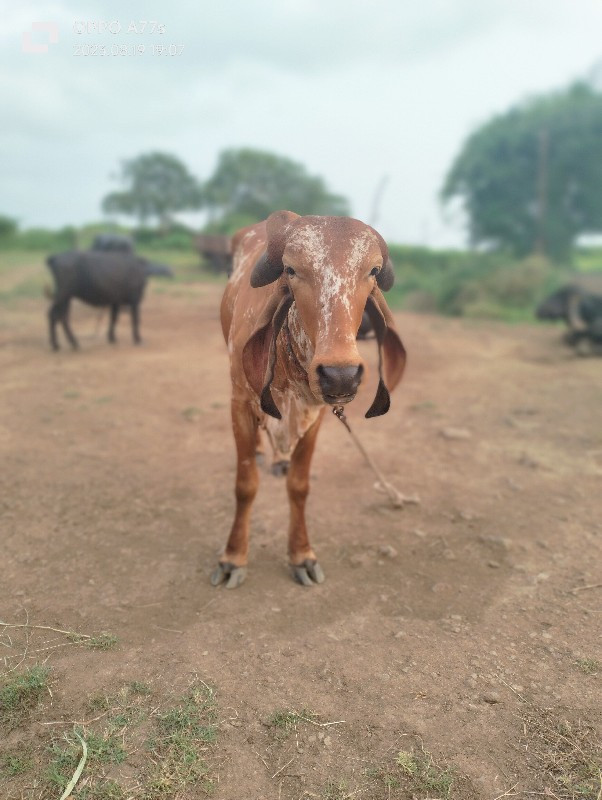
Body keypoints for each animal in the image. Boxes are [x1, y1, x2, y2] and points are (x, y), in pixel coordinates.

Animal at [211, 212, 404, 588]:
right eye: (291, 269)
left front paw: (301, 555)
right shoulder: (239, 400)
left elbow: (299, 487)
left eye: (373, 271)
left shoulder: (317, 414)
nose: (341, 375)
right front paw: (233, 558)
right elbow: (245, 486)